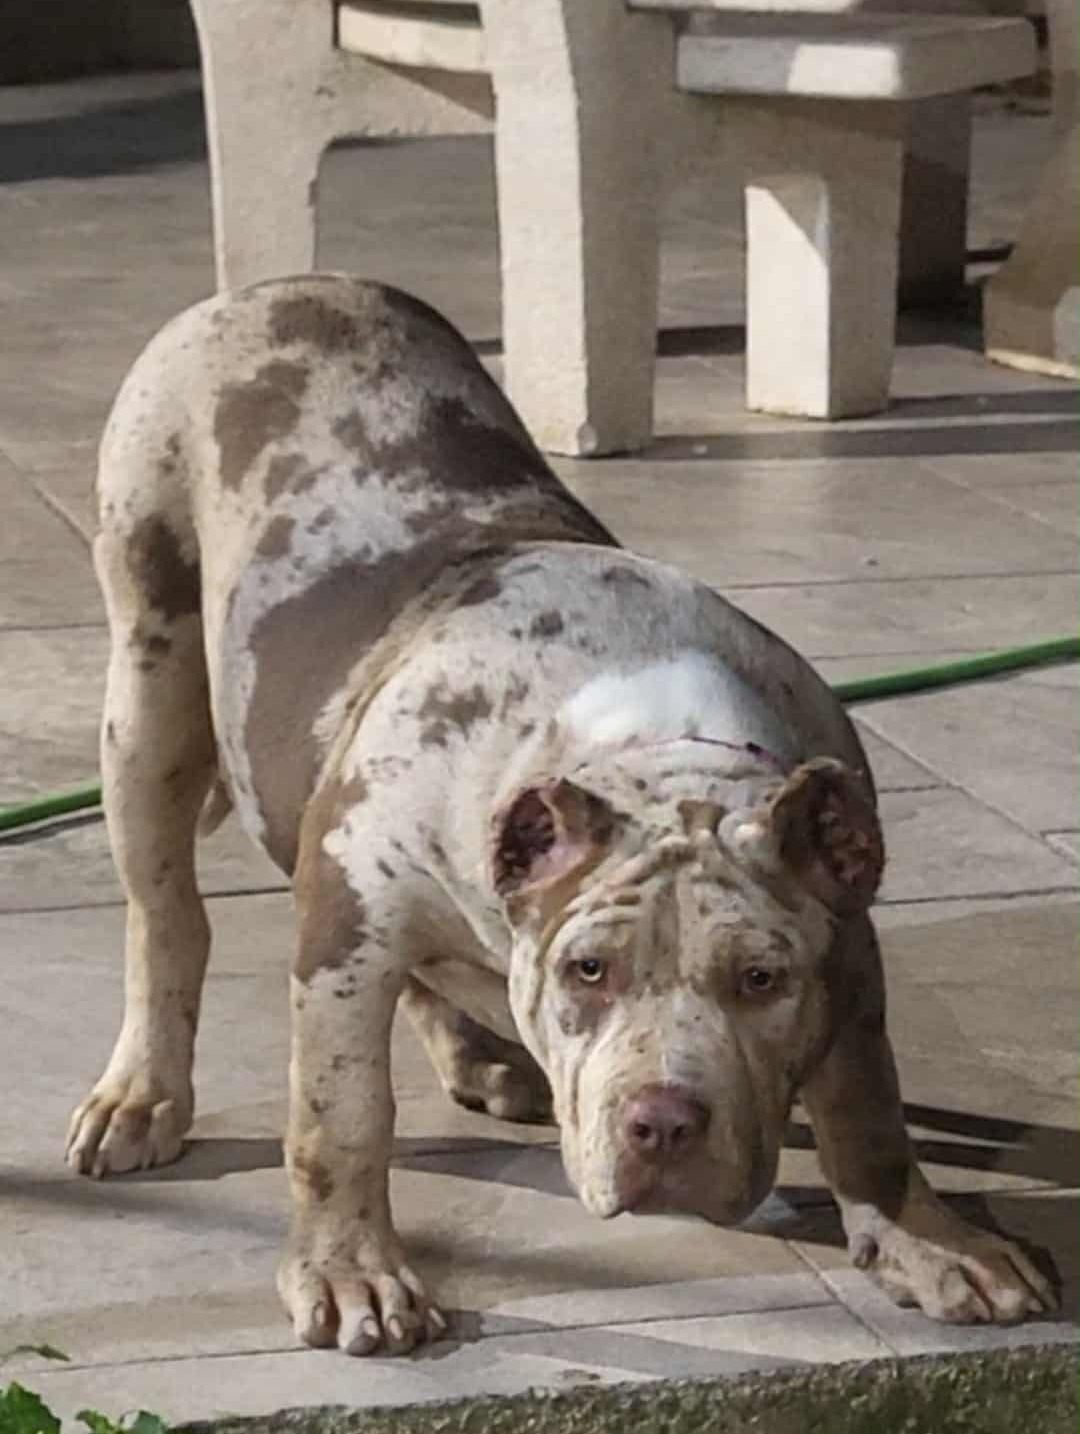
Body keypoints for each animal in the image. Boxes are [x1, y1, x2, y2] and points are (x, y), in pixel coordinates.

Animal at [67, 275, 1053, 1355]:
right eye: (589, 971)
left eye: (762, 979)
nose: (663, 1122)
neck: (657, 748)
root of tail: (284, 284)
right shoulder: (345, 930)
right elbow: (343, 1114)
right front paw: (349, 1271)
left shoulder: (852, 943)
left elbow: (870, 1105)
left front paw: (932, 1242)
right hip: (150, 689)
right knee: (167, 918)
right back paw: (142, 1095)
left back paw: (481, 1056)